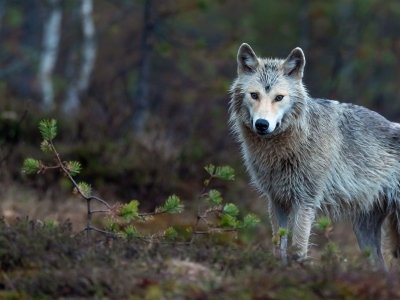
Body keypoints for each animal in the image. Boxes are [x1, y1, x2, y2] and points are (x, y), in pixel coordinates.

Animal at [228, 42, 400, 270]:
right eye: (254, 95)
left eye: (279, 97)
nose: (262, 124)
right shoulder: (276, 201)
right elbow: (278, 246)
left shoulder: (305, 202)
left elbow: (298, 249)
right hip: (363, 230)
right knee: (381, 269)